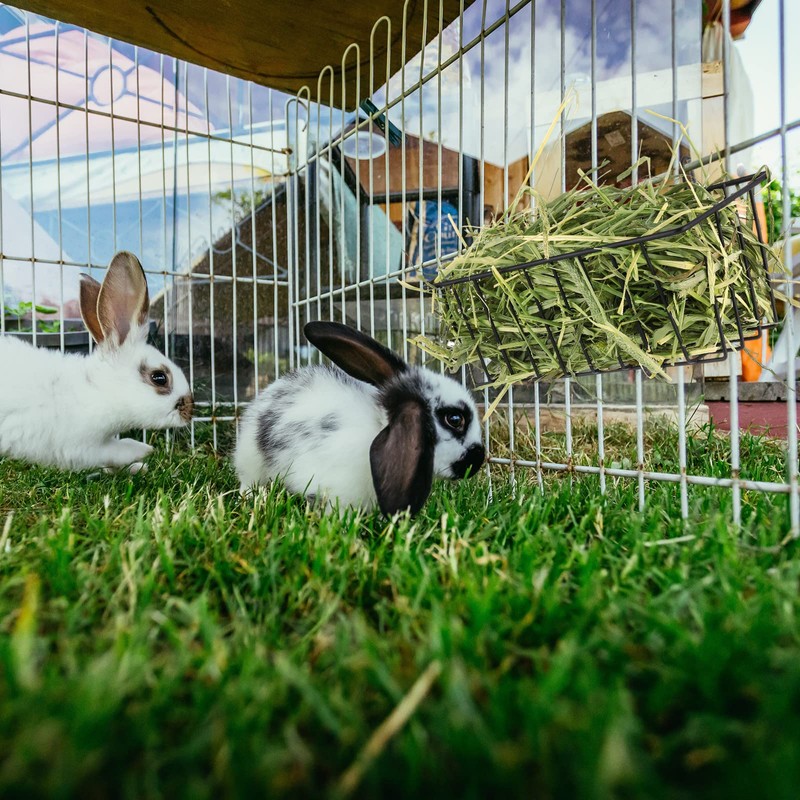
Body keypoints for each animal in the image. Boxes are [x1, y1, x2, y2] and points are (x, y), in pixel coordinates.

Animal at [0, 251, 193, 472]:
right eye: (159, 378)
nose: (190, 411)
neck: (97, 390)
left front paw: (137, 467)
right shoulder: (82, 448)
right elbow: (117, 451)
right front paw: (143, 451)